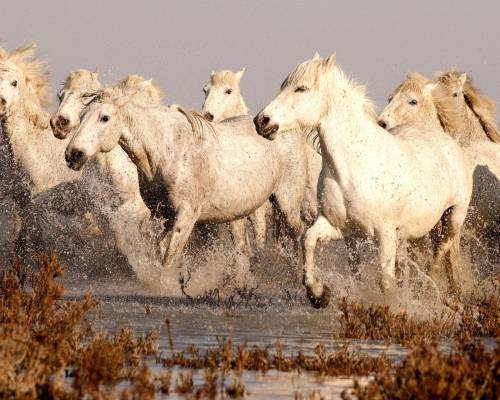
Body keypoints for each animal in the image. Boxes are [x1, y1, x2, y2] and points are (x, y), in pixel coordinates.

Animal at [65, 85, 308, 288]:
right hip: (237, 216)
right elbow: (162, 249)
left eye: (104, 118)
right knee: (243, 248)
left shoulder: (186, 215)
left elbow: (169, 256)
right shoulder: (163, 215)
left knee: (296, 236)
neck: (169, 151)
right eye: (82, 117)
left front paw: (164, 286)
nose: (73, 154)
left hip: (286, 205)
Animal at [254, 53, 472, 308]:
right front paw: (319, 294)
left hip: (454, 216)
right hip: (414, 232)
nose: (261, 121)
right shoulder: (342, 228)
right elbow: (309, 240)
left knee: (442, 250)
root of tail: (447, 141)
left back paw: (430, 288)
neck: (354, 168)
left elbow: (385, 281)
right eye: (283, 86)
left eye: (302, 88)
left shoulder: (385, 234)